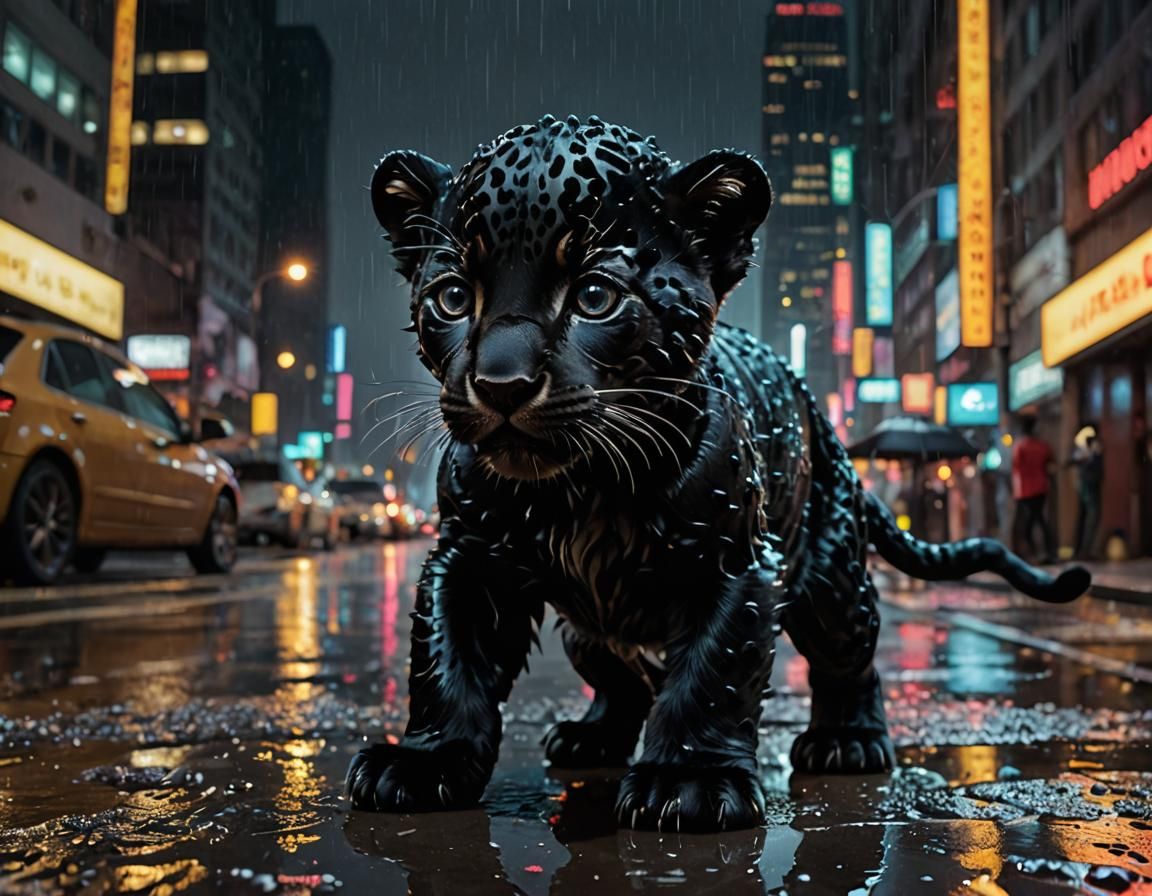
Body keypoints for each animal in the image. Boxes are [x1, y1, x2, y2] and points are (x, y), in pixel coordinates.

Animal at [345, 115, 1091, 832]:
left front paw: (690, 783)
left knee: (850, 656)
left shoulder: (731, 561)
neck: (582, 489)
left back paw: (848, 742)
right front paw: (422, 762)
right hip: (589, 630)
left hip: (832, 585)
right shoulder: (468, 555)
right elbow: (448, 659)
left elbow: (715, 670)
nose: (502, 384)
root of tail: (827, 426)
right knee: (620, 679)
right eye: (451, 297)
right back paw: (591, 738)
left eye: (595, 297)